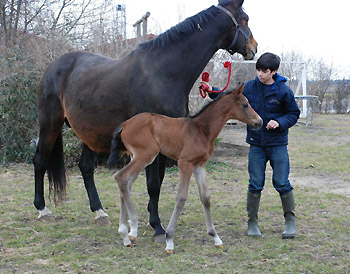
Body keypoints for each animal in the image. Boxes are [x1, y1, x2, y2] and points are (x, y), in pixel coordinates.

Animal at [108, 83, 262, 253]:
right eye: (245, 104)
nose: (260, 122)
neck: (201, 130)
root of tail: (124, 124)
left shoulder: (199, 165)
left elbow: (205, 198)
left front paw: (215, 237)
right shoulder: (185, 163)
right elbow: (181, 197)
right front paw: (169, 240)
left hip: (136, 157)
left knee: (126, 183)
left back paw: (126, 234)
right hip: (146, 155)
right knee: (121, 177)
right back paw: (132, 228)